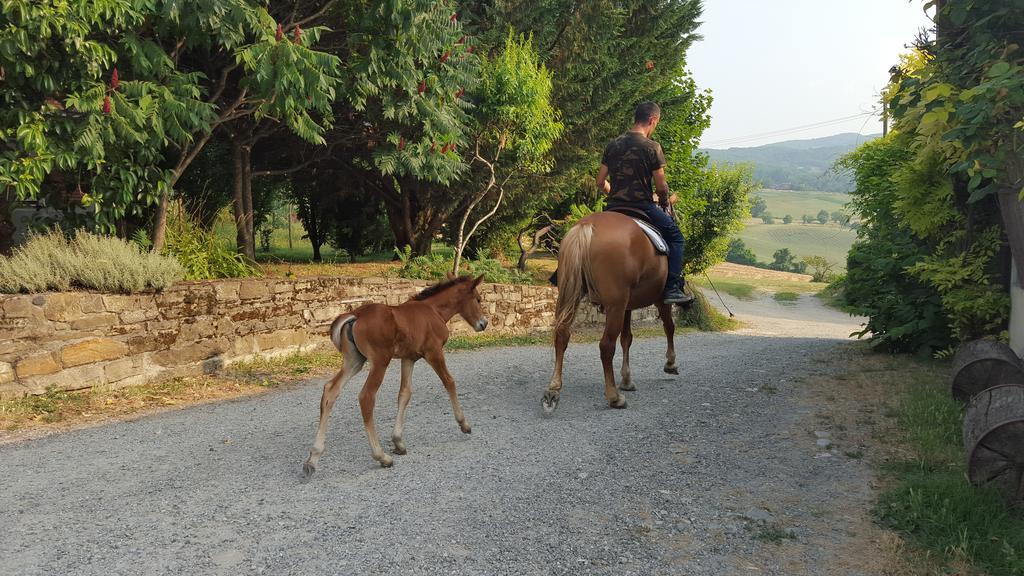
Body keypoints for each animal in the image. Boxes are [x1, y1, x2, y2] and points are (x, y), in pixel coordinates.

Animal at [301, 274, 489, 475]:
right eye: (478, 299)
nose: (484, 323)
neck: (434, 310)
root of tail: (355, 315)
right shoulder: (434, 352)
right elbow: (449, 381)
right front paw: (464, 424)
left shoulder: (408, 358)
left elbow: (405, 394)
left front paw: (398, 441)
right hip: (380, 362)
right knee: (366, 397)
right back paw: (381, 456)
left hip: (354, 361)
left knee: (331, 390)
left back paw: (313, 458)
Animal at [544, 212, 679, 412]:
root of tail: (587, 224)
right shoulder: (661, 300)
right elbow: (669, 327)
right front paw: (670, 363)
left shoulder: (627, 306)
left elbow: (627, 339)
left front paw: (627, 379)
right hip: (615, 305)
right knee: (606, 346)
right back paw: (614, 396)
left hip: (572, 295)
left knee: (562, 335)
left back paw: (554, 386)